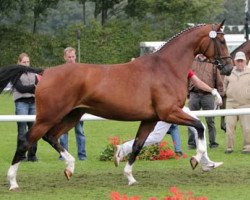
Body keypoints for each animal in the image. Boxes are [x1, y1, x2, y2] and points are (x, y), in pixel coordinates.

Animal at [2, 21, 233, 190]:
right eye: (221, 40)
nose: (228, 67)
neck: (166, 67)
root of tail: (44, 72)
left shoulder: (151, 119)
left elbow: (138, 145)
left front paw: (129, 177)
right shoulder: (169, 113)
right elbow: (200, 126)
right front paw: (197, 160)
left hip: (72, 115)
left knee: (51, 137)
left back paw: (70, 168)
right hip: (49, 116)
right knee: (26, 141)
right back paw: (13, 182)